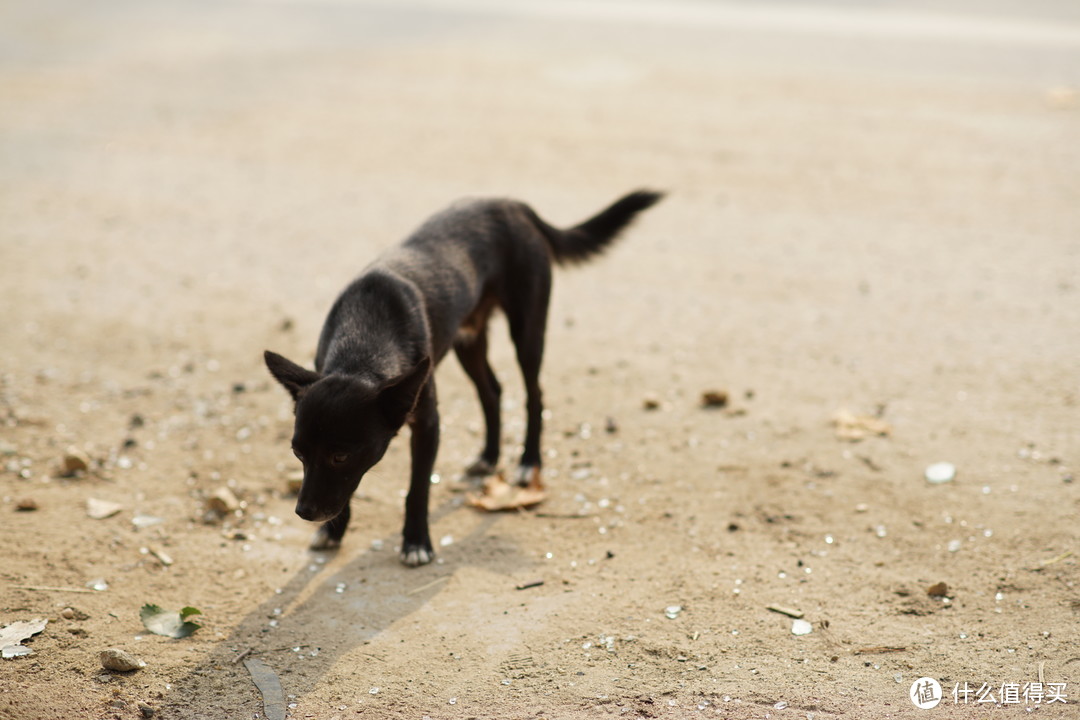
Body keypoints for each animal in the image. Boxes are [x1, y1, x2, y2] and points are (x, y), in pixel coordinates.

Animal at [265, 188, 660, 565]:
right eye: (297, 453)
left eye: (340, 456)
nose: (304, 512)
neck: (361, 348)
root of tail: (512, 204)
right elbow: (348, 491)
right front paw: (334, 531)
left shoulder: (428, 424)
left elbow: (417, 489)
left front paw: (415, 543)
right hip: (467, 339)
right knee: (493, 391)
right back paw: (488, 457)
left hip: (527, 329)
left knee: (534, 395)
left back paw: (528, 462)